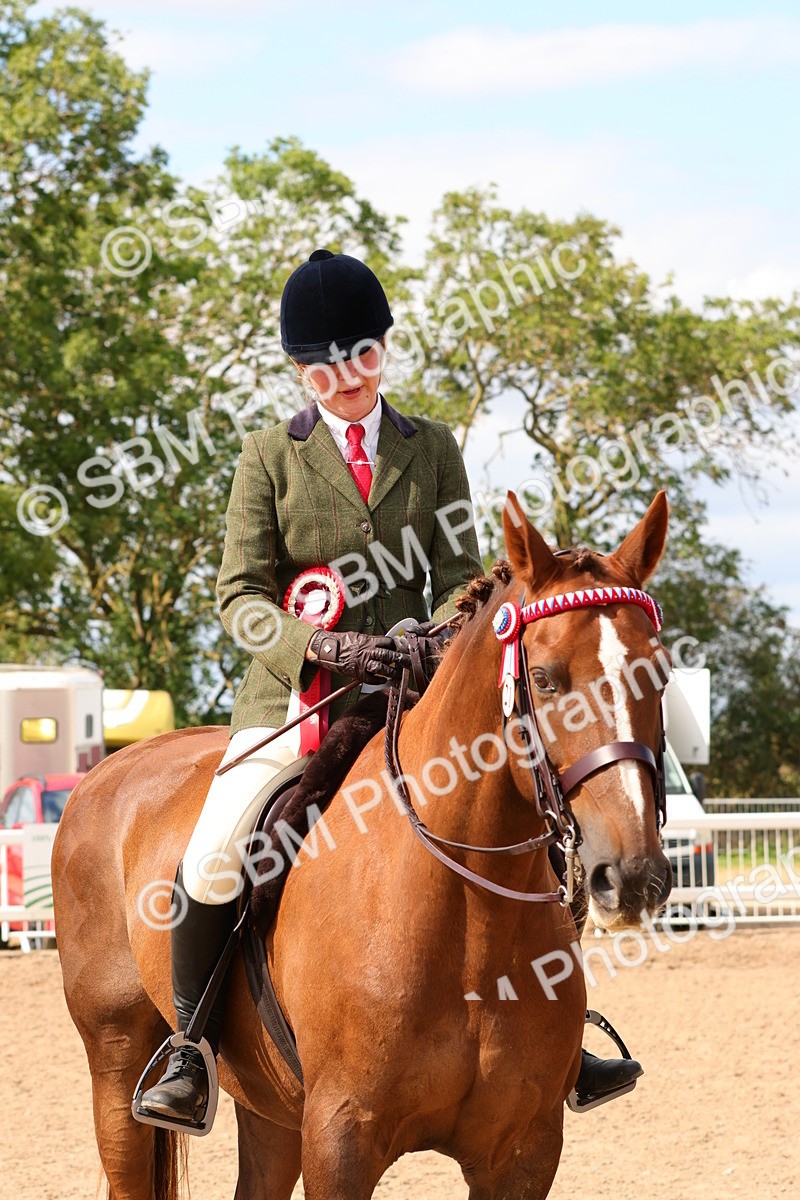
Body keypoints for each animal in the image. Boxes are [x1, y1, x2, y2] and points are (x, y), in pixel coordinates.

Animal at [52, 490, 672, 1200]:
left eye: (660, 673)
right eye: (542, 679)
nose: (632, 876)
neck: (469, 924)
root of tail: (108, 770)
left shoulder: (524, 1151)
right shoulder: (340, 1139)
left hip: (272, 1106)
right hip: (116, 1063)